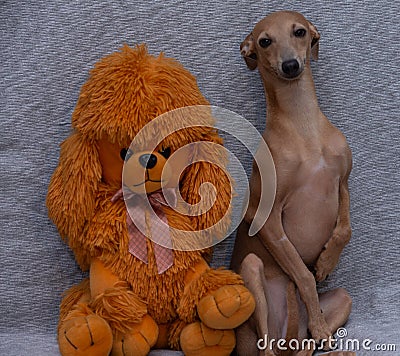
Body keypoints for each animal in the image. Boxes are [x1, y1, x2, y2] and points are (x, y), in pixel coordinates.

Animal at [231, 11, 354, 356]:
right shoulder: (266, 218)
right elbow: (303, 276)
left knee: (307, 347)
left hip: (343, 299)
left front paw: (325, 262)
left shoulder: (342, 184)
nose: (290, 65)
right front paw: (314, 273)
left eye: (299, 32)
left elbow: (345, 229)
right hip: (251, 273)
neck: (304, 126)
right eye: (264, 41)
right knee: (267, 350)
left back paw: (334, 344)